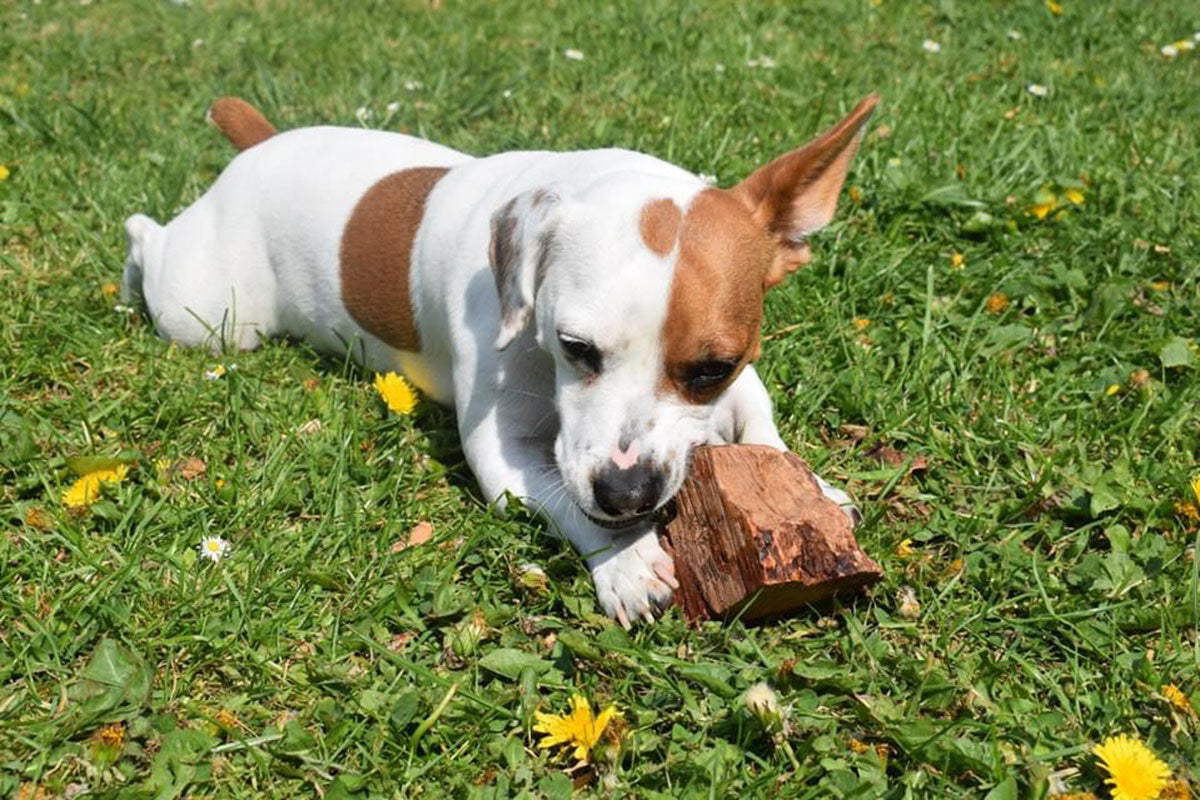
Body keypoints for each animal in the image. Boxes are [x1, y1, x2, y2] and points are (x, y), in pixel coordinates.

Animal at [124, 97, 883, 628]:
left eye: (711, 369)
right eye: (575, 347)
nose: (627, 495)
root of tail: (260, 144)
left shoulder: (742, 374)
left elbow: (760, 426)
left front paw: (811, 489)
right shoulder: (504, 451)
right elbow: (561, 496)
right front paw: (627, 561)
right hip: (207, 314)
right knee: (149, 242)